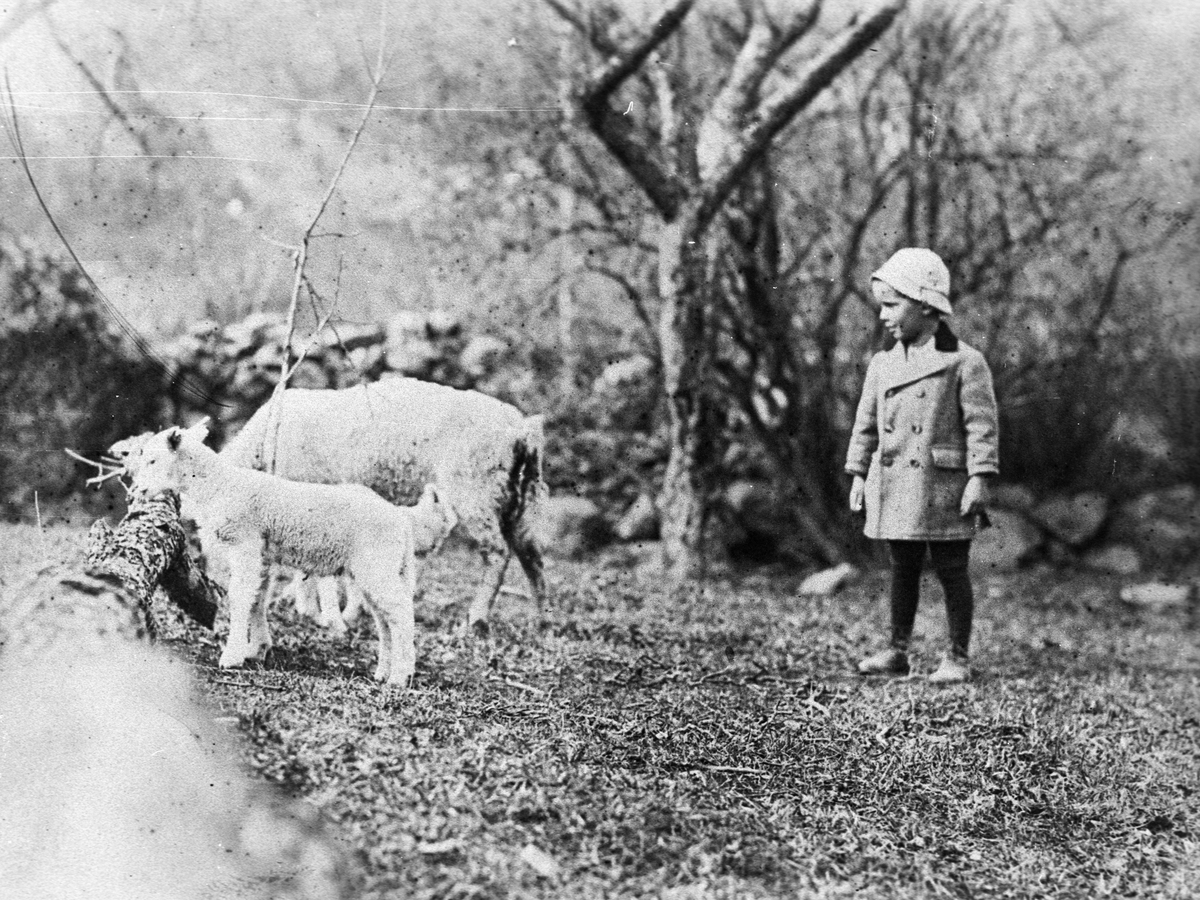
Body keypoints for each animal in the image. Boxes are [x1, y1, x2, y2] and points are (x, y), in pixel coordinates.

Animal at [126, 420, 453, 686]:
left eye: (153, 460)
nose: (136, 491)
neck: (218, 486)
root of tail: (401, 522)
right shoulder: (262, 554)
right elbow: (258, 598)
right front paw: (256, 649)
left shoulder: (244, 542)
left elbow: (240, 597)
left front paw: (232, 656)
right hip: (377, 568)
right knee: (386, 619)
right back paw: (384, 672)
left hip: (376, 564)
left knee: (401, 612)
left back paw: (401, 675)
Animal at [218, 376, 547, 638]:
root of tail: (521, 427)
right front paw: (316, 608)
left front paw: (319, 612)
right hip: (517, 495)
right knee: (532, 555)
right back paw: (542, 621)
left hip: (475, 489)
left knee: (498, 554)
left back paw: (474, 620)